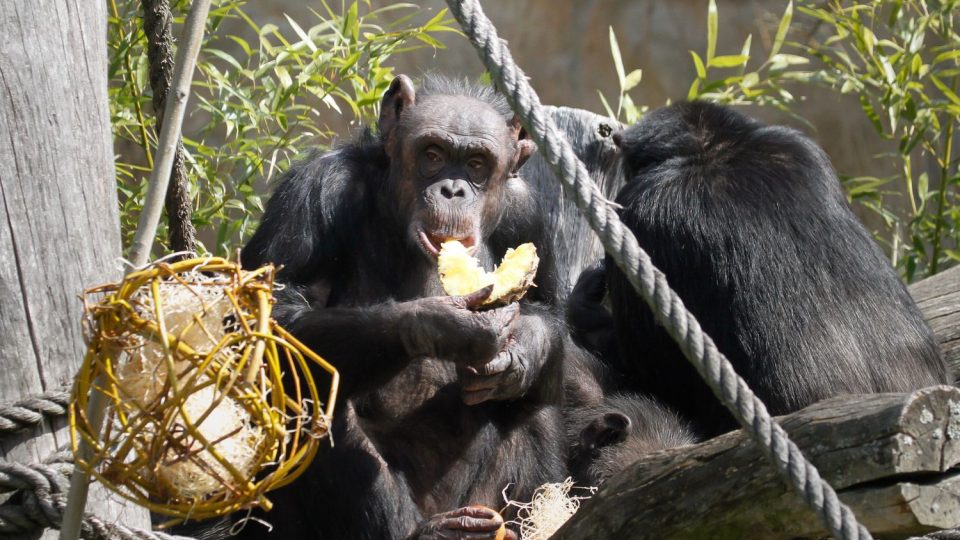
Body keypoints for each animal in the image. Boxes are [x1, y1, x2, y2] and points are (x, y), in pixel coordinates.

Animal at [231, 73, 576, 540]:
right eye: (433, 154)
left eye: (477, 165)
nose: (453, 190)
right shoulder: (313, 190)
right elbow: (272, 316)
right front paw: (445, 324)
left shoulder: (530, 212)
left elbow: (550, 310)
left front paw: (522, 348)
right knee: (313, 390)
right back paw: (429, 534)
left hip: (481, 498)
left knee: (535, 399)